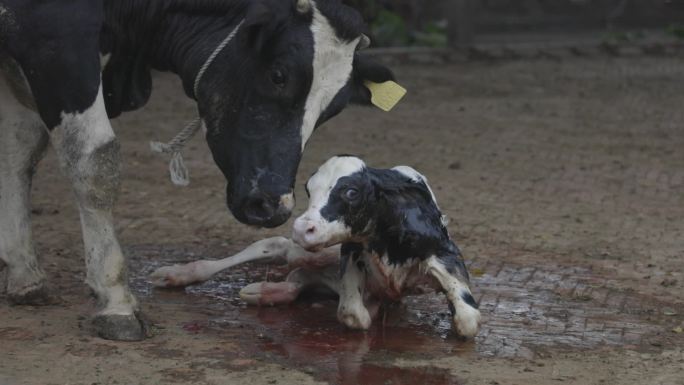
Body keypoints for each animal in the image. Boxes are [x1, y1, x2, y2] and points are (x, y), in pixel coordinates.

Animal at [0, 0, 396, 340]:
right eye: (278, 75)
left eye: (335, 108)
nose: (273, 205)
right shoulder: (57, 34)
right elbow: (94, 160)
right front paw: (116, 300)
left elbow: (18, 152)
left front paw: (24, 274)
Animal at [150, 155, 480, 336]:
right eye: (309, 189)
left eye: (351, 192)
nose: (301, 227)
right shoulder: (349, 252)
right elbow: (353, 314)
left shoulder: (443, 252)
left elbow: (468, 318)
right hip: (312, 251)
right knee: (277, 247)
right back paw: (177, 274)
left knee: (296, 277)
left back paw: (268, 290)